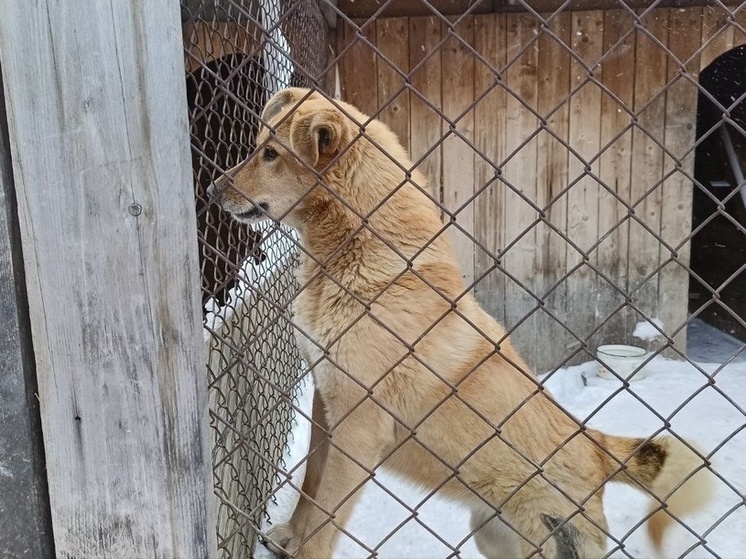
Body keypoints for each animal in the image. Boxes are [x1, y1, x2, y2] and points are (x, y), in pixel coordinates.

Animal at [209, 88, 708, 559]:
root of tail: (597, 449)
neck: (358, 251)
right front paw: (290, 535)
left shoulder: (359, 426)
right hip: (492, 536)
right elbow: (311, 485)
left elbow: (326, 514)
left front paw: (302, 547)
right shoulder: (324, 403)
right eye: (258, 147)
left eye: (271, 154)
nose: (212, 190)